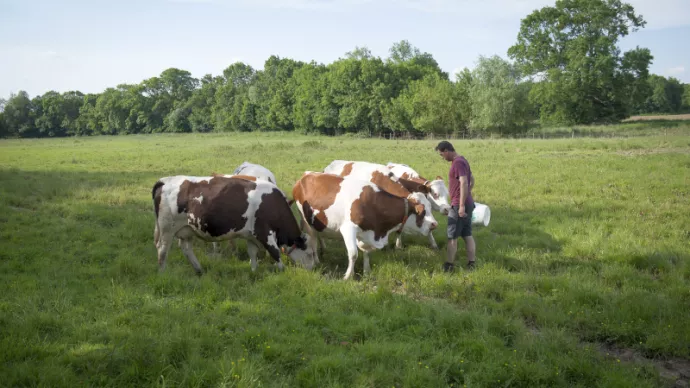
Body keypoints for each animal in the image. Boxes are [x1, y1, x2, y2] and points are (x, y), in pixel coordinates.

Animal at [153, 174, 314, 274]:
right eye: (311, 254)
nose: (313, 269)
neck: (272, 204)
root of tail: (164, 180)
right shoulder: (264, 232)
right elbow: (275, 253)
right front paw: (282, 270)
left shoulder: (251, 235)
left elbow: (252, 253)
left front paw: (254, 270)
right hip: (167, 229)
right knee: (162, 250)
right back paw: (162, 272)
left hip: (186, 229)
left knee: (186, 249)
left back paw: (199, 270)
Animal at [290, 172, 436, 278]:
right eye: (422, 212)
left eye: (430, 207)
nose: (434, 224)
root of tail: (305, 176)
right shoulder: (348, 229)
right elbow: (353, 254)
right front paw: (348, 276)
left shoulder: (367, 232)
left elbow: (366, 252)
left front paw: (366, 271)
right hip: (305, 219)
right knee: (312, 239)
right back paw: (316, 260)